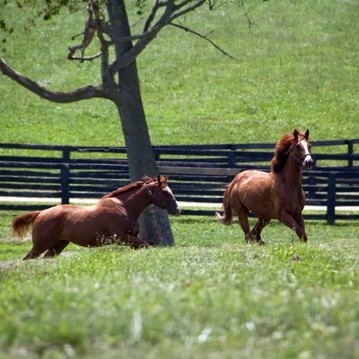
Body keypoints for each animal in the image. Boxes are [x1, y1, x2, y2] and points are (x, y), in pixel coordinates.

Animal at [13, 176, 181, 258]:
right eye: (165, 191)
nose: (178, 209)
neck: (124, 206)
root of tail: (41, 213)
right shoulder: (122, 238)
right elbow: (146, 245)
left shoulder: (133, 238)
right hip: (41, 245)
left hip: (58, 245)